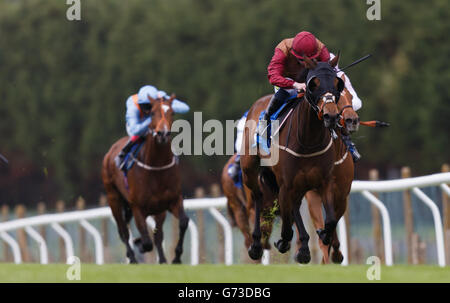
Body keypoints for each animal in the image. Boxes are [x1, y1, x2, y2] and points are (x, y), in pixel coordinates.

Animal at [101, 94, 189, 264]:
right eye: (152, 113)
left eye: (172, 113)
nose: (163, 134)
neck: (156, 166)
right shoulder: (137, 207)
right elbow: (146, 241)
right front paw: (140, 244)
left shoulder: (173, 200)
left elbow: (182, 222)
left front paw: (176, 257)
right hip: (113, 198)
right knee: (123, 232)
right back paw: (132, 257)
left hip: (158, 209)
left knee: (157, 234)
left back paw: (162, 259)